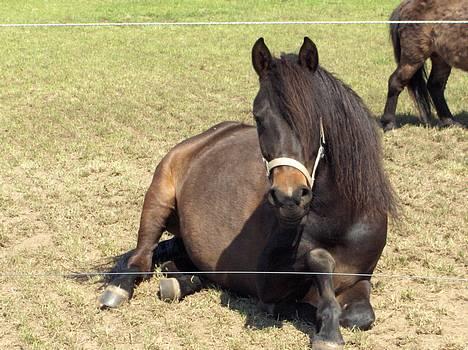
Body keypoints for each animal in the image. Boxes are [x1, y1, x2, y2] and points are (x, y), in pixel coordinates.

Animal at [100, 37, 396, 348]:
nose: (289, 196)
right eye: (258, 117)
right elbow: (314, 270)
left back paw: (180, 281)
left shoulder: (360, 279)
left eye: (314, 116)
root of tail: (207, 137)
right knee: (142, 256)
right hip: (157, 199)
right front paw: (327, 328)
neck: (338, 222)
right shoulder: (268, 284)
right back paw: (121, 288)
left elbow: (361, 316)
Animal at [382, 0, 466, 131]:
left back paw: (449, 121)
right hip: (413, 58)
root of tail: (405, 5)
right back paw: (389, 123)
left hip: (440, 59)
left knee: (435, 86)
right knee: (395, 82)